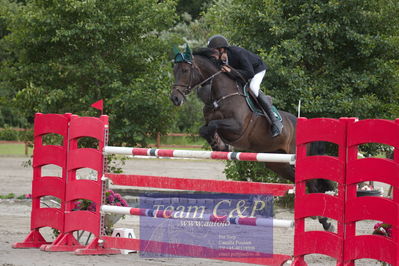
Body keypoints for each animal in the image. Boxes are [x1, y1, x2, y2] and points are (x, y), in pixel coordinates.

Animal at [171, 46, 334, 231]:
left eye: (185, 70)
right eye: (174, 70)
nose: (174, 98)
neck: (220, 96)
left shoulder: (237, 127)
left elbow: (213, 125)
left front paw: (220, 145)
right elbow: (204, 129)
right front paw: (219, 146)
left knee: (312, 183)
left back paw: (325, 222)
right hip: (277, 163)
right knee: (301, 181)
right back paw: (321, 219)